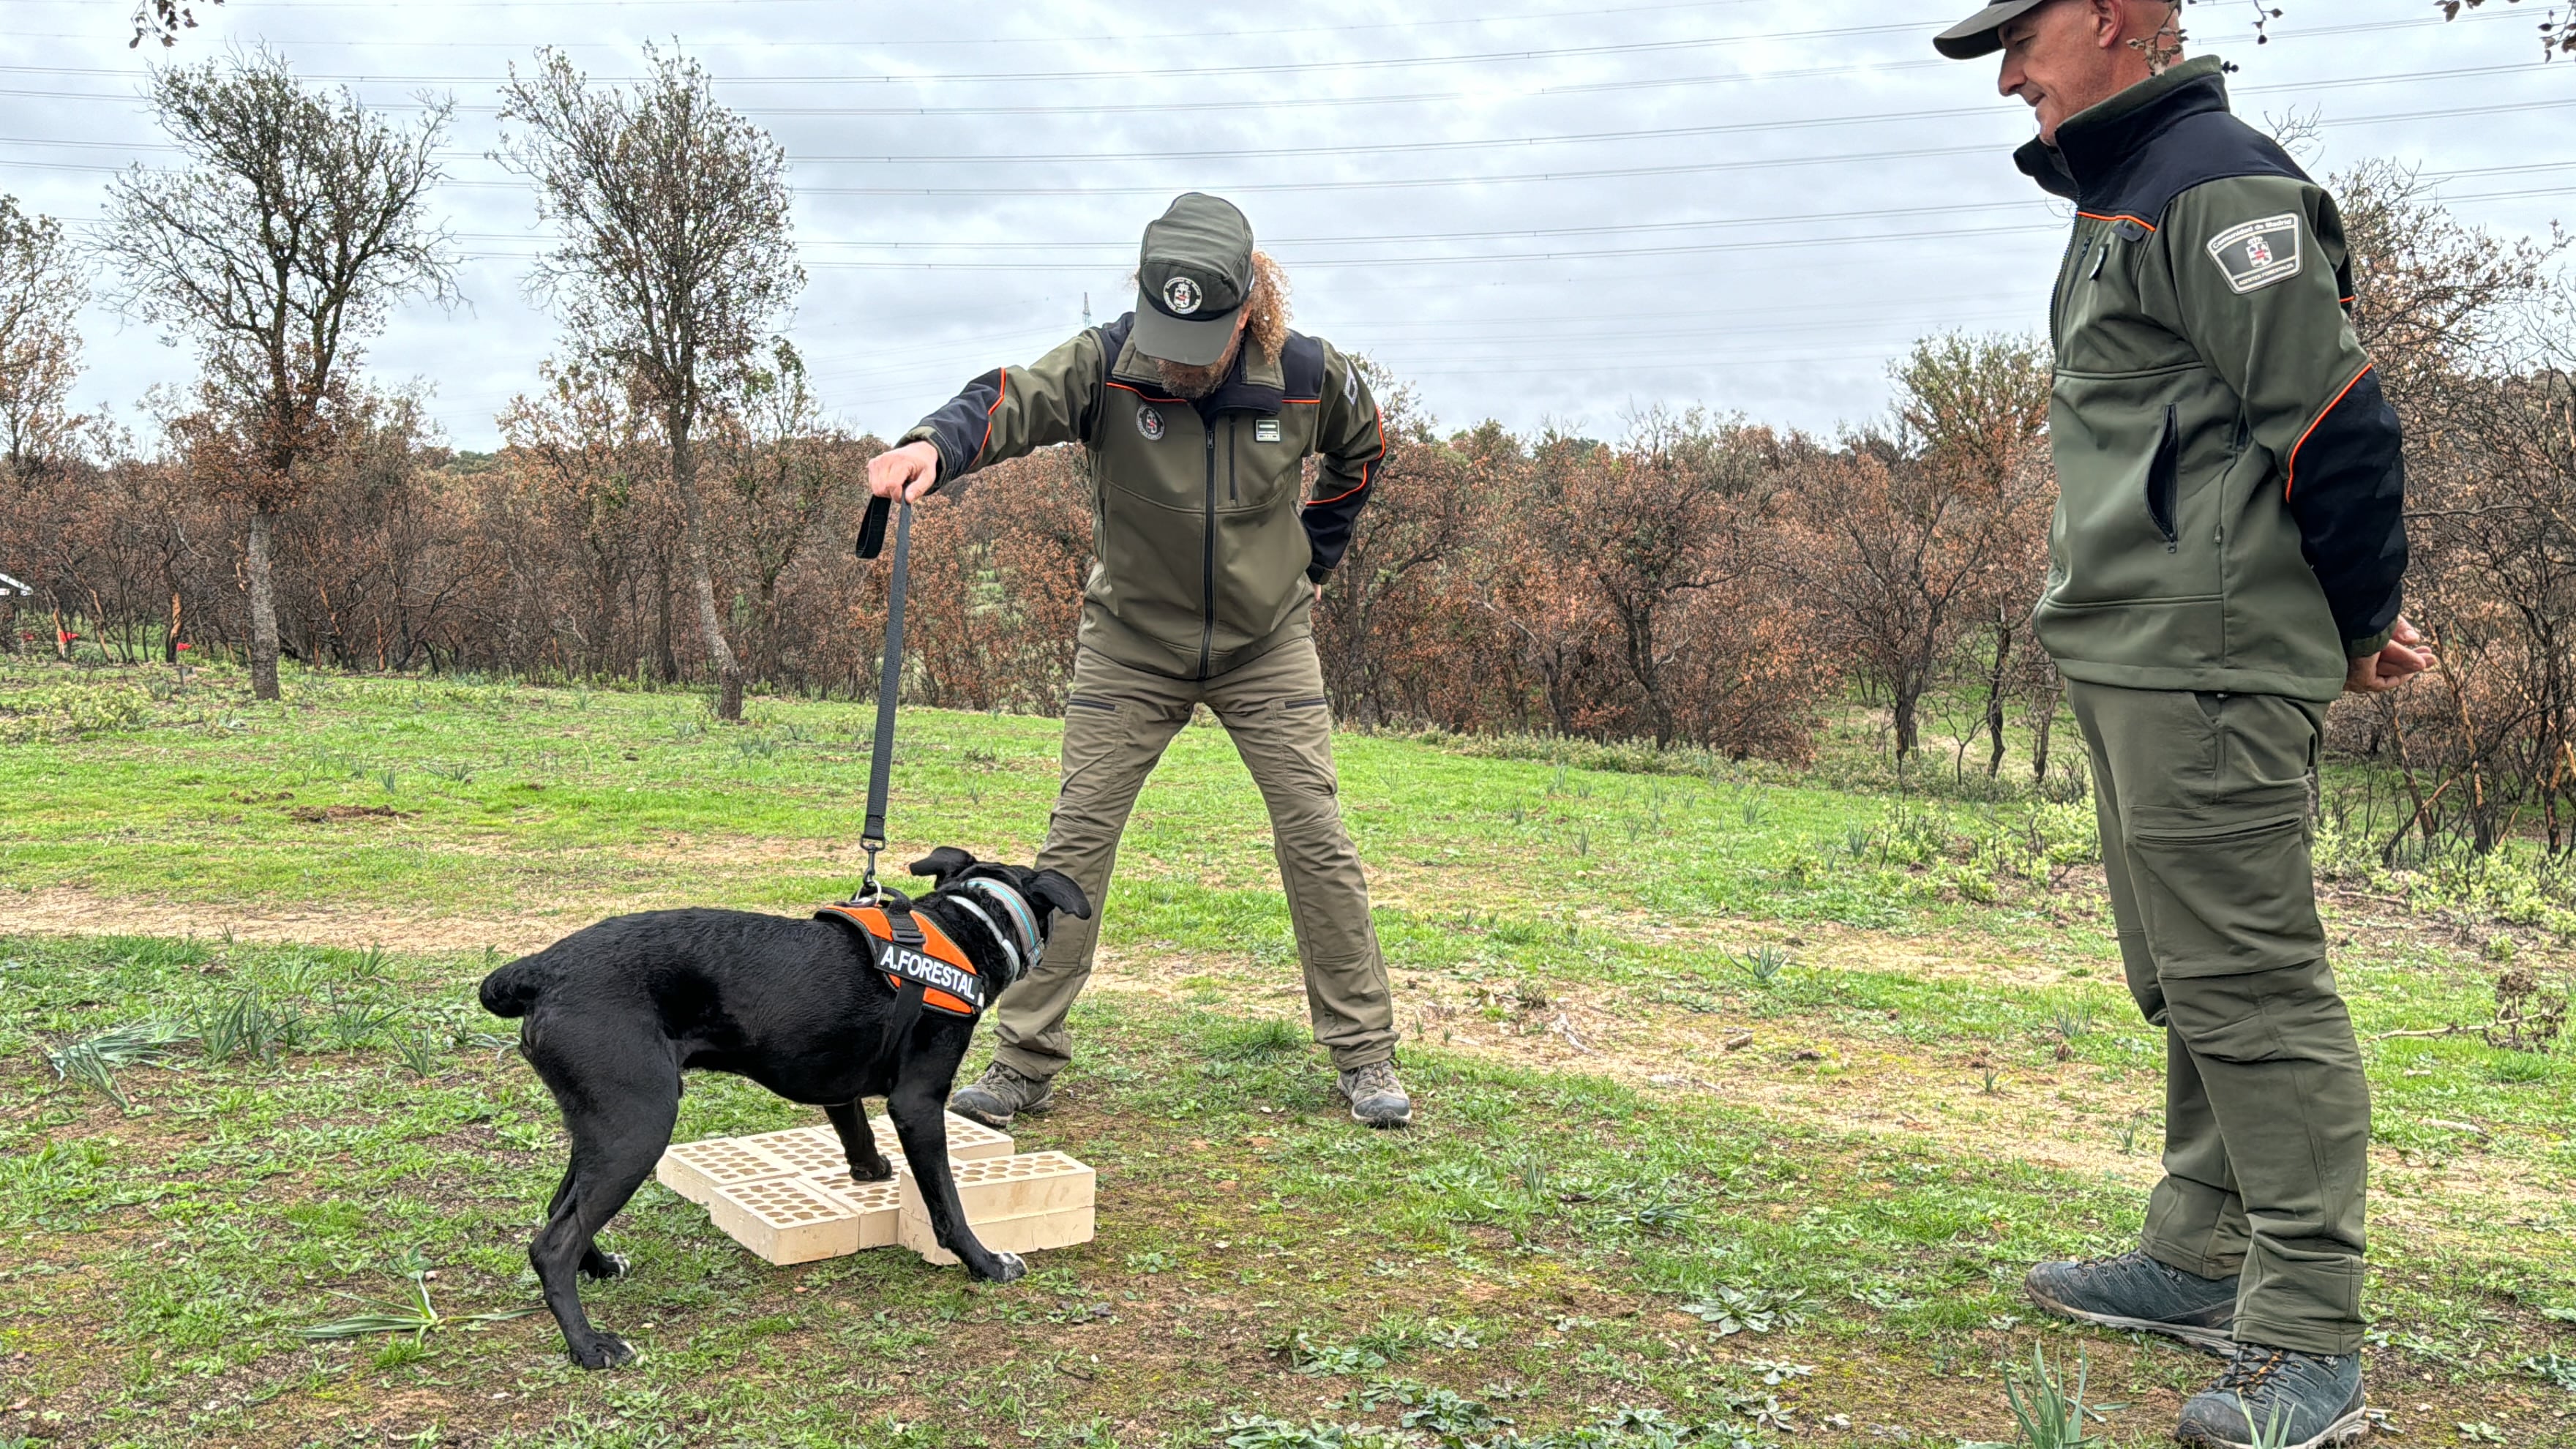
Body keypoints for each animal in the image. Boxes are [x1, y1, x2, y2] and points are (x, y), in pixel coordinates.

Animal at [476, 840, 1087, 1361]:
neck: (966, 922)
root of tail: (540, 971)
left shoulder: (840, 1086)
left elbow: (856, 1131)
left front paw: (870, 1171)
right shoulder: (917, 1105)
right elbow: (947, 1205)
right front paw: (985, 1263)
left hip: (603, 1125)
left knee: (561, 1207)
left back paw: (601, 1267)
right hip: (639, 1128)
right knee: (553, 1244)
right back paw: (589, 1346)